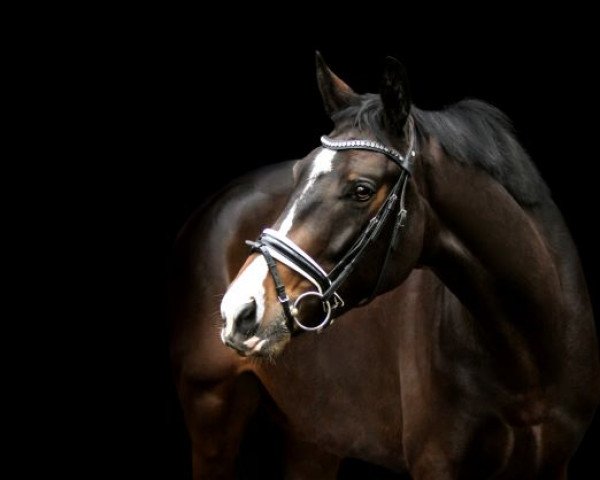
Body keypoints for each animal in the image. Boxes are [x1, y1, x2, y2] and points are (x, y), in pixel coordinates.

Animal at [169, 53, 600, 480]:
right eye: (297, 172)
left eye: (362, 190)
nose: (240, 311)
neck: (528, 356)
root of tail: (212, 206)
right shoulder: (435, 463)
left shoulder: (555, 464)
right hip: (211, 410)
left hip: (314, 434)